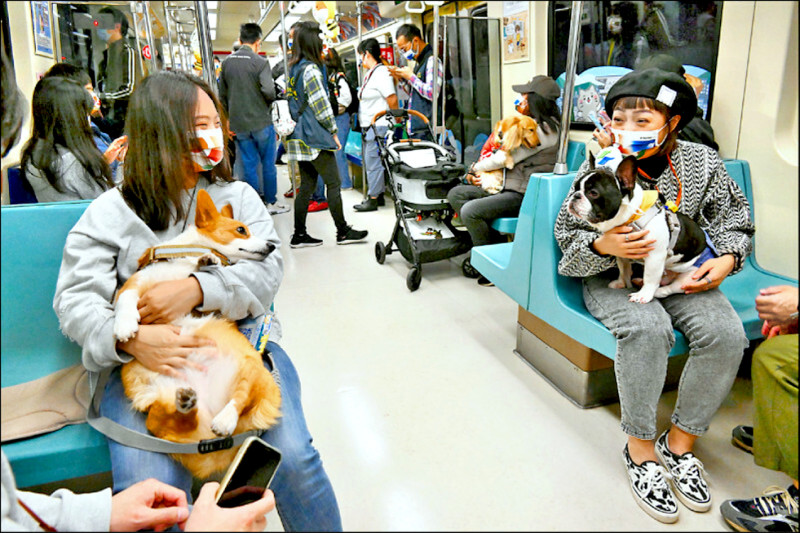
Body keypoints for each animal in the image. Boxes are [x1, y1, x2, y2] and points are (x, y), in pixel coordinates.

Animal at [114, 189, 281, 478]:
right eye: (241, 230)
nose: (271, 246)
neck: (185, 254)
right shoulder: (133, 286)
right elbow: (127, 300)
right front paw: (124, 326)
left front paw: (208, 261)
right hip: (156, 406)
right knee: (172, 421)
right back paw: (185, 405)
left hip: (251, 370)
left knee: (240, 399)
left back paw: (223, 418)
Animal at [567, 152, 715, 304]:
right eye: (576, 188)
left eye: (593, 193)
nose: (575, 195)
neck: (631, 218)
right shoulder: (621, 254)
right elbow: (624, 270)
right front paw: (621, 283)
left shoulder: (655, 257)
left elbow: (650, 277)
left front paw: (643, 295)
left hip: (691, 276)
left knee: (669, 288)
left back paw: (655, 291)